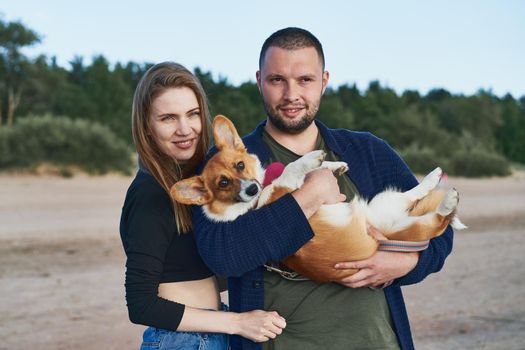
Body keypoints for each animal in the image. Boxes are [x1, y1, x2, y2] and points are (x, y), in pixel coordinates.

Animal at [171, 116, 462, 284]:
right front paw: (311, 159)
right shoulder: (283, 192)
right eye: (223, 183)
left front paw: (334, 165)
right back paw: (447, 199)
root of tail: (386, 232)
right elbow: (292, 169)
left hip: (386, 202)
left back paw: (433, 179)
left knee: (417, 198)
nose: (252, 189)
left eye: (240, 165)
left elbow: (310, 169)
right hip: (394, 212)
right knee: (436, 222)